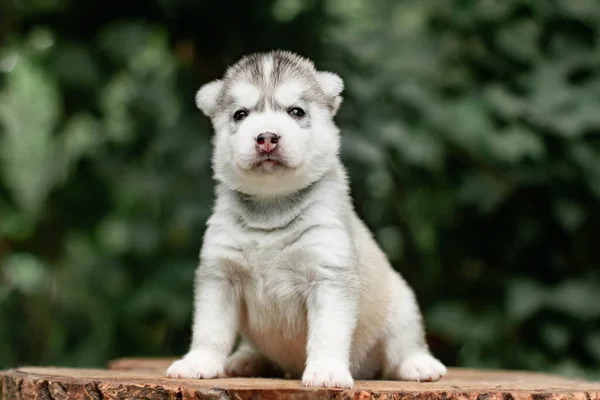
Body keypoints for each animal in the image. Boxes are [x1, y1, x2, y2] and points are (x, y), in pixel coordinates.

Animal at [166, 50, 448, 388]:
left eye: (296, 111)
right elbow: (209, 329)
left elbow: (327, 333)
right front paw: (199, 362)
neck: (271, 206)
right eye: (240, 114)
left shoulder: (328, 275)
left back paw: (418, 365)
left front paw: (326, 370)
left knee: (401, 347)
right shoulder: (220, 275)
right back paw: (246, 360)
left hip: (400, 308)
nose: (266, 137)